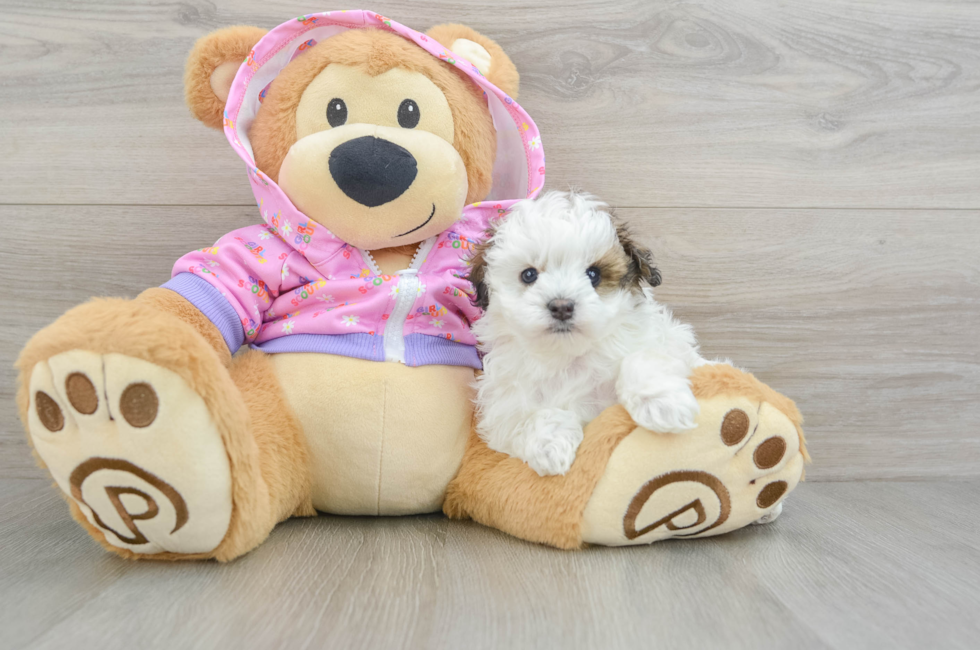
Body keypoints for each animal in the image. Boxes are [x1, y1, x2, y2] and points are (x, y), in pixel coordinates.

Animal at [468, 190, 704, 474]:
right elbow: (532, 417)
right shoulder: (503, 411)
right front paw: (551, 445)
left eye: (594, 274)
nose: (561, 306)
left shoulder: (669, 342)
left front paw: (663, 402)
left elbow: (644, 357)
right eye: (528, 275)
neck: (568, 357)